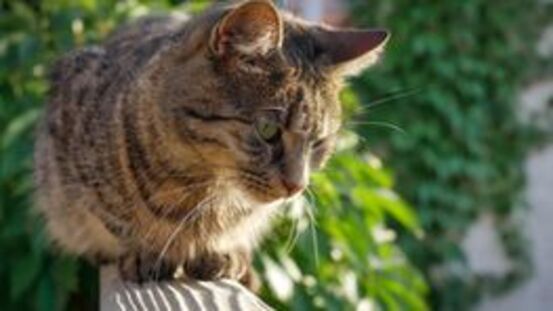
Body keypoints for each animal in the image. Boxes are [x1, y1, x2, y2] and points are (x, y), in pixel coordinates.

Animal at [34, 0, 388, 288]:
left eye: (319, 142)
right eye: (267, 130)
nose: (297, 186)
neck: (204, 189)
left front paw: (222, 253)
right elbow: (115, 222)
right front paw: (146, 252)